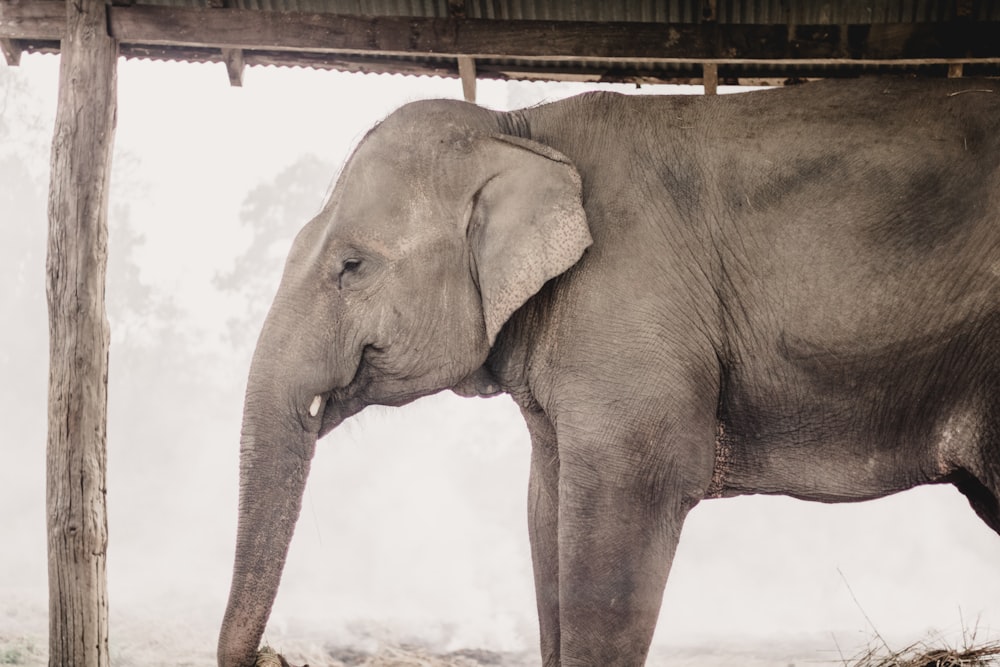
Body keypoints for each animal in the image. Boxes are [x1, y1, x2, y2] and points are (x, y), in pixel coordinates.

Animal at [219, 79, 1000, 667]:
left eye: (352, 265)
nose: (273, 654)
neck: (520, 128)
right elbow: (546, 507)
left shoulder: (631, 317)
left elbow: (622, 508)